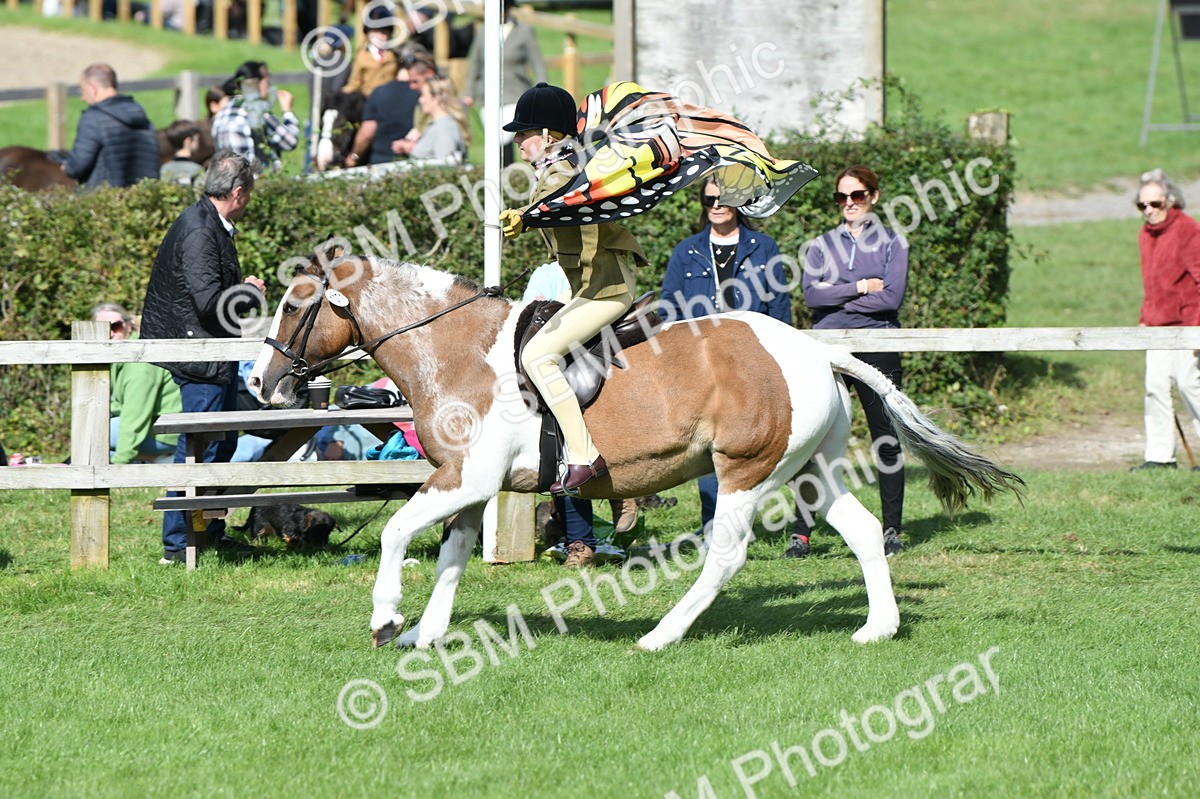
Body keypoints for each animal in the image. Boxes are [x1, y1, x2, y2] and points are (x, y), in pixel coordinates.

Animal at [246, 252, 1024, 651]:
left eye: (292, 304)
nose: (261, 381)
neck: (457, 349)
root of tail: (814, 350)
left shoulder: (466, 476)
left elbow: (398, 533)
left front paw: (386, 620)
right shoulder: (468, 484)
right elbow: (451, 555)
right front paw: (427, 634)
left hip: (744, 471)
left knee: (725, 556)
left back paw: (661, 635)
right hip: (812, 471)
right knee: (862, 531)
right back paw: (878, 628)